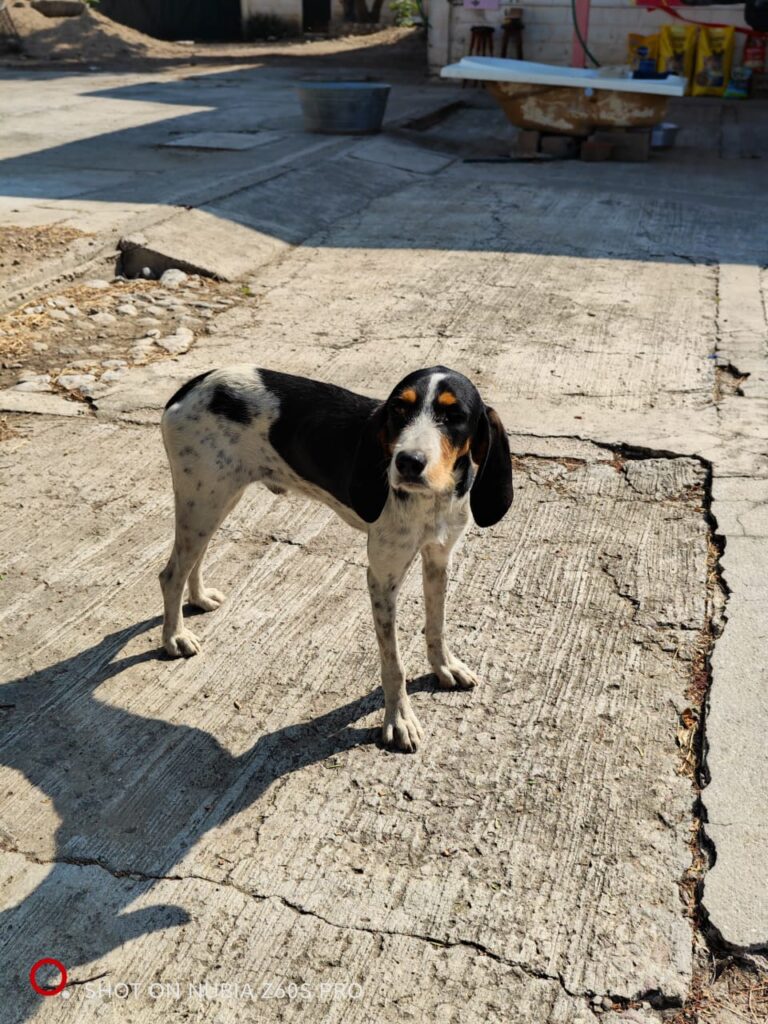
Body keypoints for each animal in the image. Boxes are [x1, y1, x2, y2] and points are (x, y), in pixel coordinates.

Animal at [159, 366, 513, 752]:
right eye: (398, 410)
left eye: (454, 416)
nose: (407, 462)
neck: (431, 502)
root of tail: (197, 381)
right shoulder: (382, 578)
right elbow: (394, 664)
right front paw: (399, 719)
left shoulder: (438, 560)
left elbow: (436, 626)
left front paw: (444, 667)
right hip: (203, 501)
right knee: (171, 574)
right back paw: (175, 637)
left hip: (215, 500)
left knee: (193, 559)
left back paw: (199, 598)